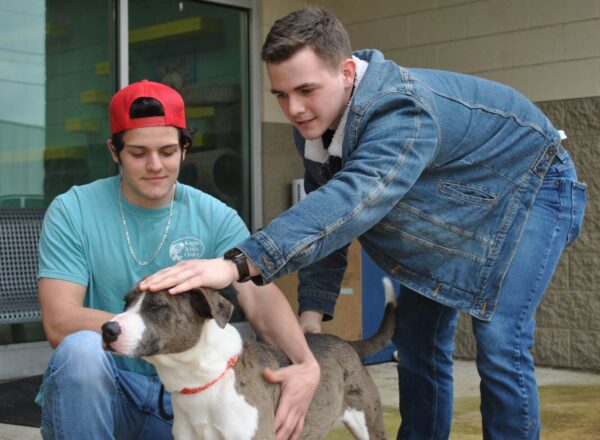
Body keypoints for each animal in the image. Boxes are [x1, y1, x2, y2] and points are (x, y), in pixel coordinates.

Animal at [101, 280, 396, 438]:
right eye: (126, 302)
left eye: (156, 306)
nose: (108, 329)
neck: (201, 381)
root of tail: (346, 342)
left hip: (368, 423)